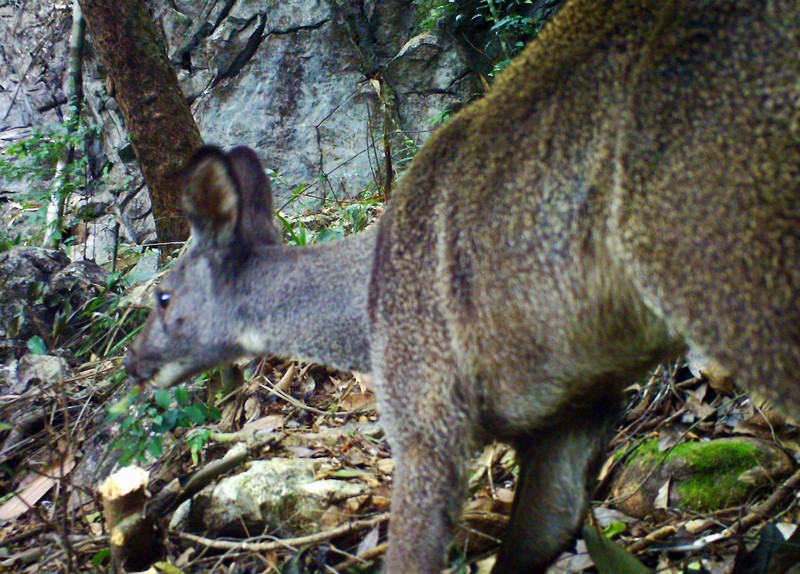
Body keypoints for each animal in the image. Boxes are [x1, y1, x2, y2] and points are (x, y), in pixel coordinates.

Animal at [125, 1, 800, 572]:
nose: (133, 362)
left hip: (712, 256)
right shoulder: (579, 408)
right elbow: (543, 531)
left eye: (163, 297)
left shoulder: (426, 413)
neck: (364, 311)